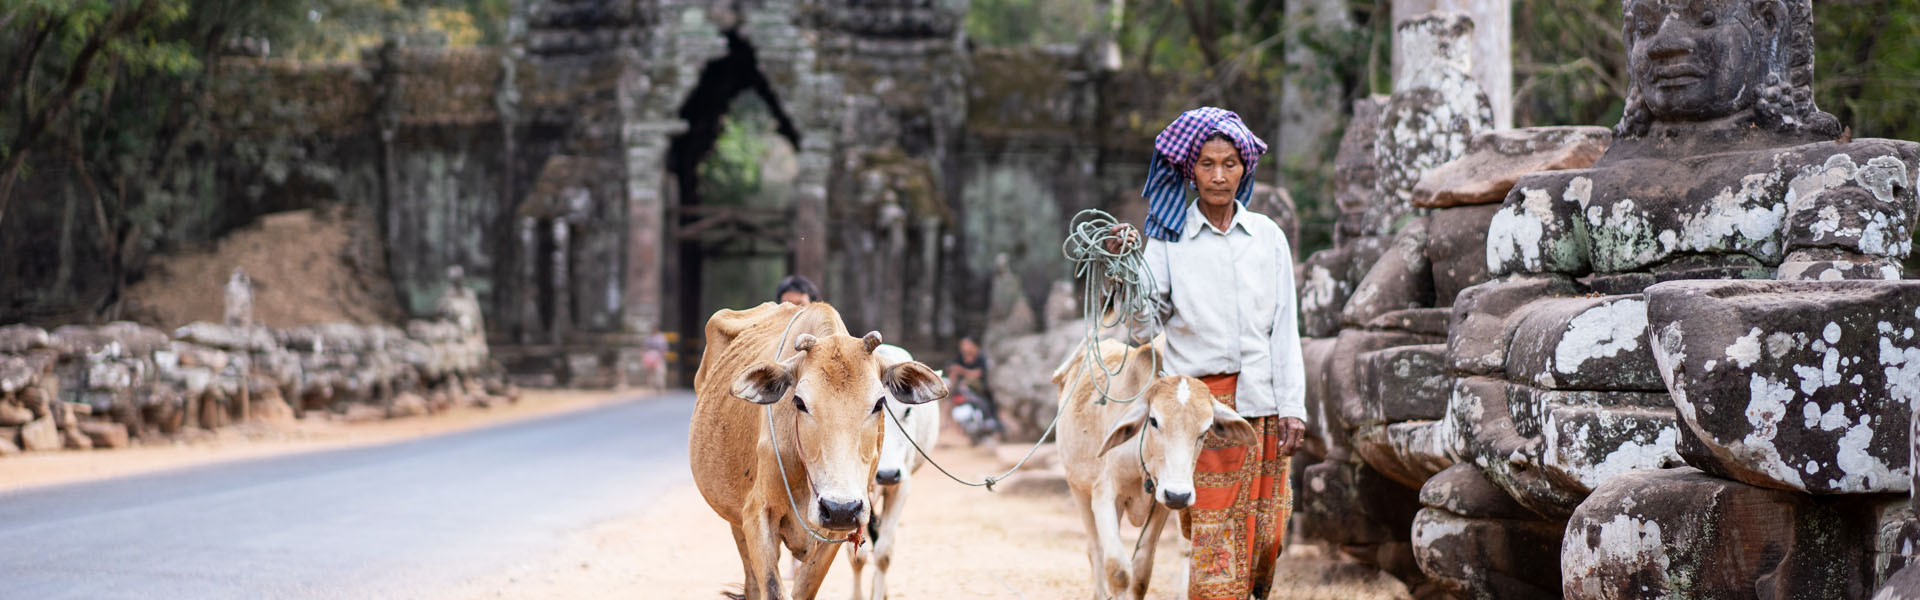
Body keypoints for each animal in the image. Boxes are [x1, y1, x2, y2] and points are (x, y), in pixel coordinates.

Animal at [1052, 338, 1259, 600]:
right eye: (1153, 420)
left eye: (1205, 430)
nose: (1178, 494)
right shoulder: (1104, 494)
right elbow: (1118, 570)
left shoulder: (1161, 503)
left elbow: (1141, 572)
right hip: (1077, 488)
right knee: (1095, 549)